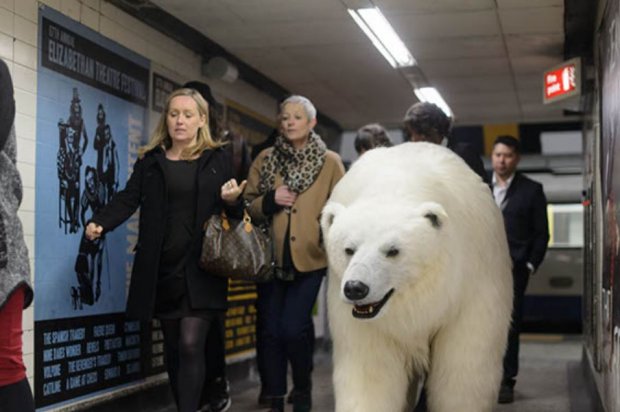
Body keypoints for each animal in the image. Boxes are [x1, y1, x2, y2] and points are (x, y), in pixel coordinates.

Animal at [322, 142, 512, 412]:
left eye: (393, 250)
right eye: (348, 249)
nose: (356, 288)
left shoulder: (471, 286)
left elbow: (464, 367)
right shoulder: (365, 321)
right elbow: (371, 369)